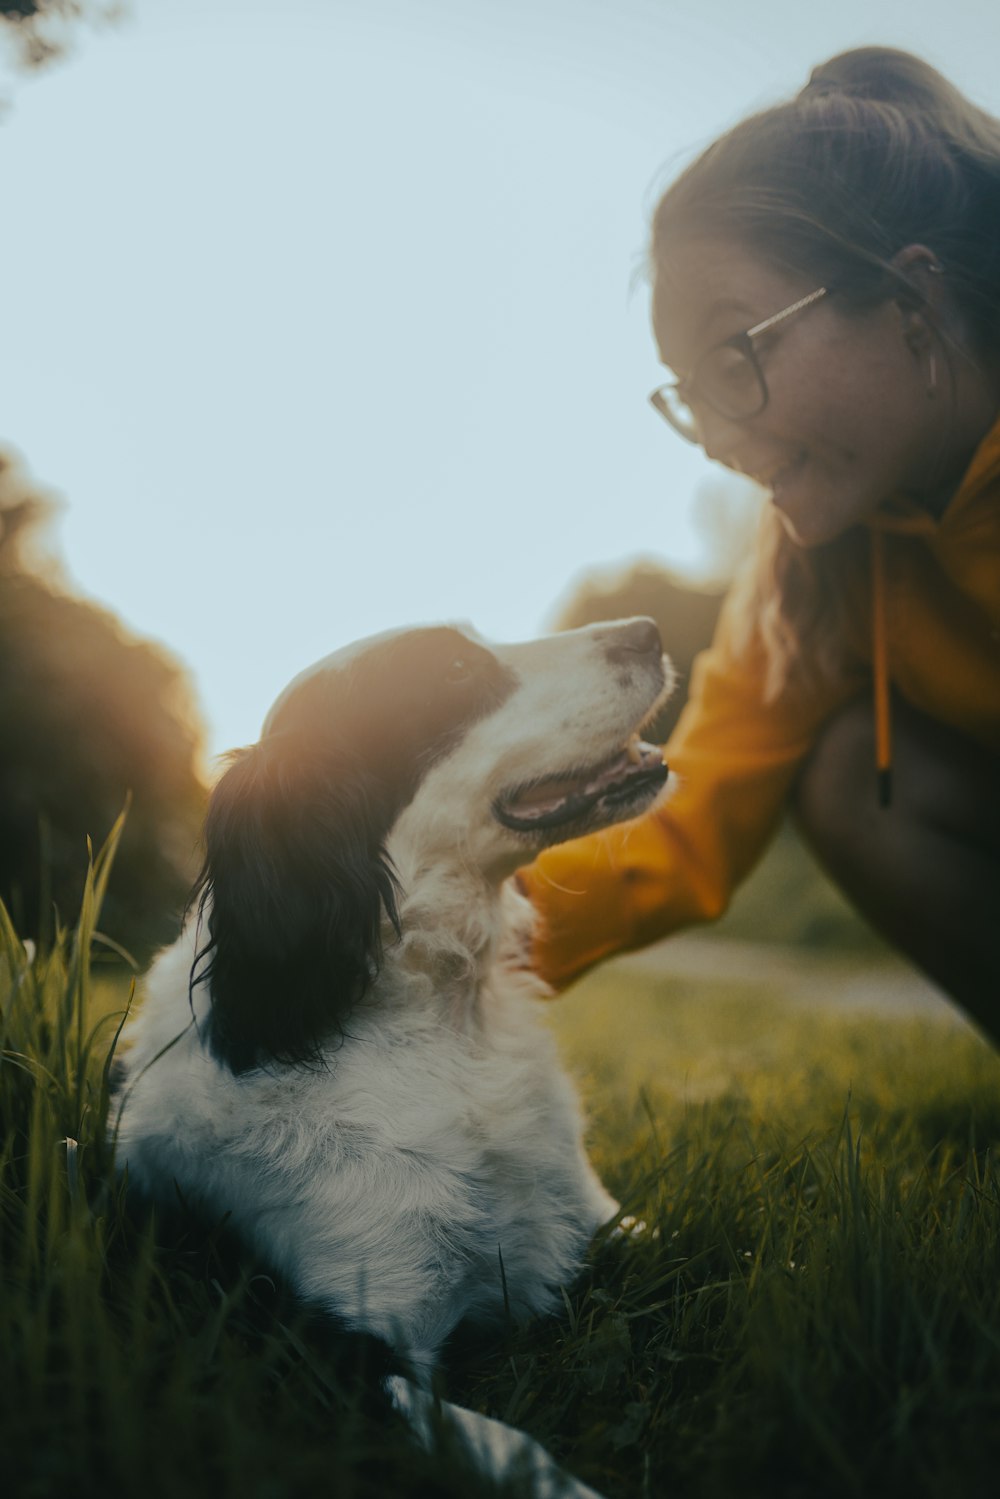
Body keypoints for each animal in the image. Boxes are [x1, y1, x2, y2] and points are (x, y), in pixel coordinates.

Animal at [113, 614, 671, 1493]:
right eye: (453, 671)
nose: (649, 628)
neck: (443, 1024)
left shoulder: (603, 1222)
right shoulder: (338, 1352)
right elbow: (526, 1454)